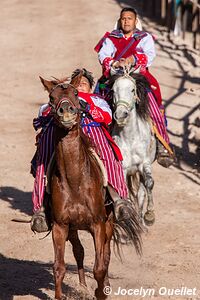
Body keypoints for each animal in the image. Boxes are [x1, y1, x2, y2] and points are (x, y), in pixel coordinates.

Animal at [39, 72, 142, 300]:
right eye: (51, 98)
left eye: (76, 94)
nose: (66, 111)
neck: (75, 181)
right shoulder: (60, 226)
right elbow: (59, 267)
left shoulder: (98, 225)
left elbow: (100, 267)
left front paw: (101, 291)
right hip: (73, 228)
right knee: (79, 250)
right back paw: (83, 285)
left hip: (109, 223)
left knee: (106, 254)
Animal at [111, 68, 156, 226]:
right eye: (113, 90)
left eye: (132, 89)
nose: (120, 115)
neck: (130, 138)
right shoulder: (123, 169)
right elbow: (124, 192)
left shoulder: (144, 163)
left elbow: (149, 183)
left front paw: (149, 215)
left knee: (141, 191)